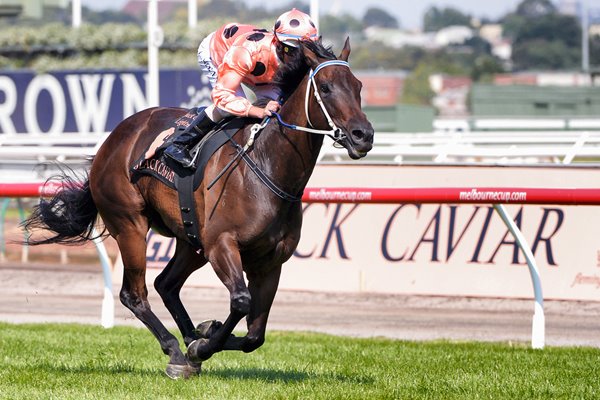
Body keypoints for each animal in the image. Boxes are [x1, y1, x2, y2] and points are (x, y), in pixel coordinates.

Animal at [25, 39, 372, 380]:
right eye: (325, 87)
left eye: (358, 86)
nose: (363, 135)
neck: (266, 166)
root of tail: (112, 140)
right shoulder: (221, 244)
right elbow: (241, 302)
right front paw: (200, 346)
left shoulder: (271, 261)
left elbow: (255, 335)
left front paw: (205, 333)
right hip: (130, 225)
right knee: (134, 294)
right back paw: (177, 351)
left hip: (190, 239)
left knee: (166, 284)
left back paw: (190, 337)